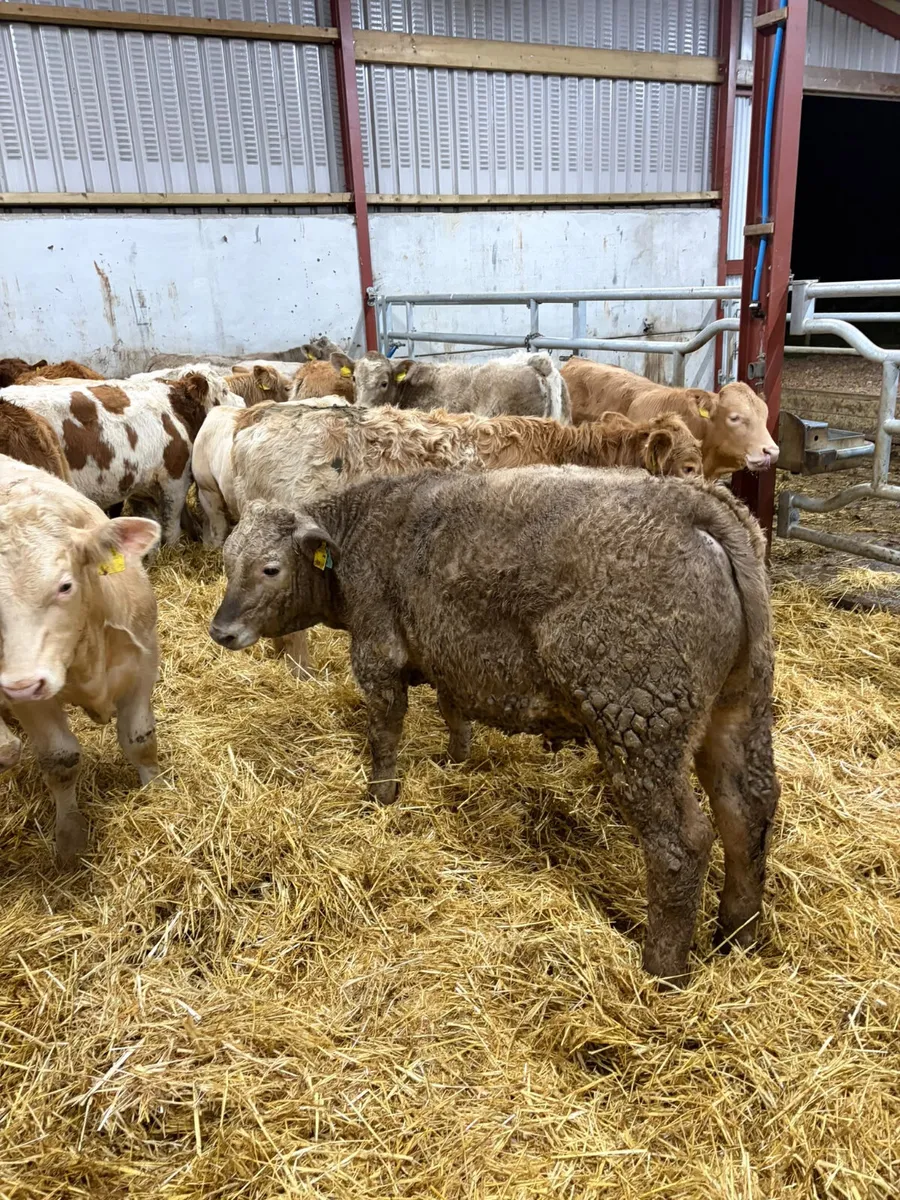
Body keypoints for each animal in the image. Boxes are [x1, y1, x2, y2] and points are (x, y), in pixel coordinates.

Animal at [0, 456, 161, 861]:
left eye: (65, 586)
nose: (24, 684)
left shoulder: (143, 662)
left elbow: (140, 739)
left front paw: (158, 791)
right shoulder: (30, 699)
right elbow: (60, 760)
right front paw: (70, 837)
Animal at [210, 467, 779, 984]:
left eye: (270, 568)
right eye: (227, 562)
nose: (222, 630)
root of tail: (693, 503)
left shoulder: (377, 652)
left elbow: (384, 732)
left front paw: (380, 797)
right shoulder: (450, 658)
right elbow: (452, 710)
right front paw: (457, 759)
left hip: (639, 718)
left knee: (681, 844)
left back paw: (662, 970)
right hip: (739, 703)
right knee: (747, 809)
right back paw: (738, 935)